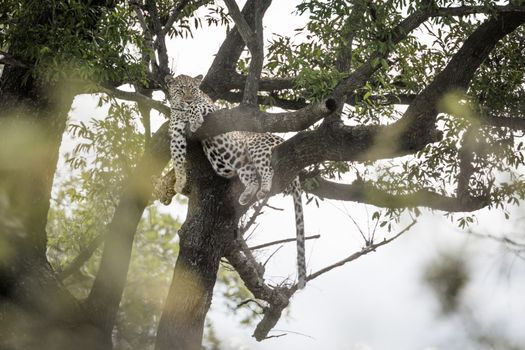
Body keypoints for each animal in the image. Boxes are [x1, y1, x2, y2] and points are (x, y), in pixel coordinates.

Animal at [165, 73, 308, 288]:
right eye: (181, 89)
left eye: (193, 89)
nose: (188, 99)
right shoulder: (176, 137)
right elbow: (177, 159)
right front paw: (180, 182)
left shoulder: (212, 110)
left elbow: (197, 107)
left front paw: (195, 117)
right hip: (241, 162)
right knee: (253, 178)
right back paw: (246, 195)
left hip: (257, 146)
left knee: (267, 170)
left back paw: (264, 189)